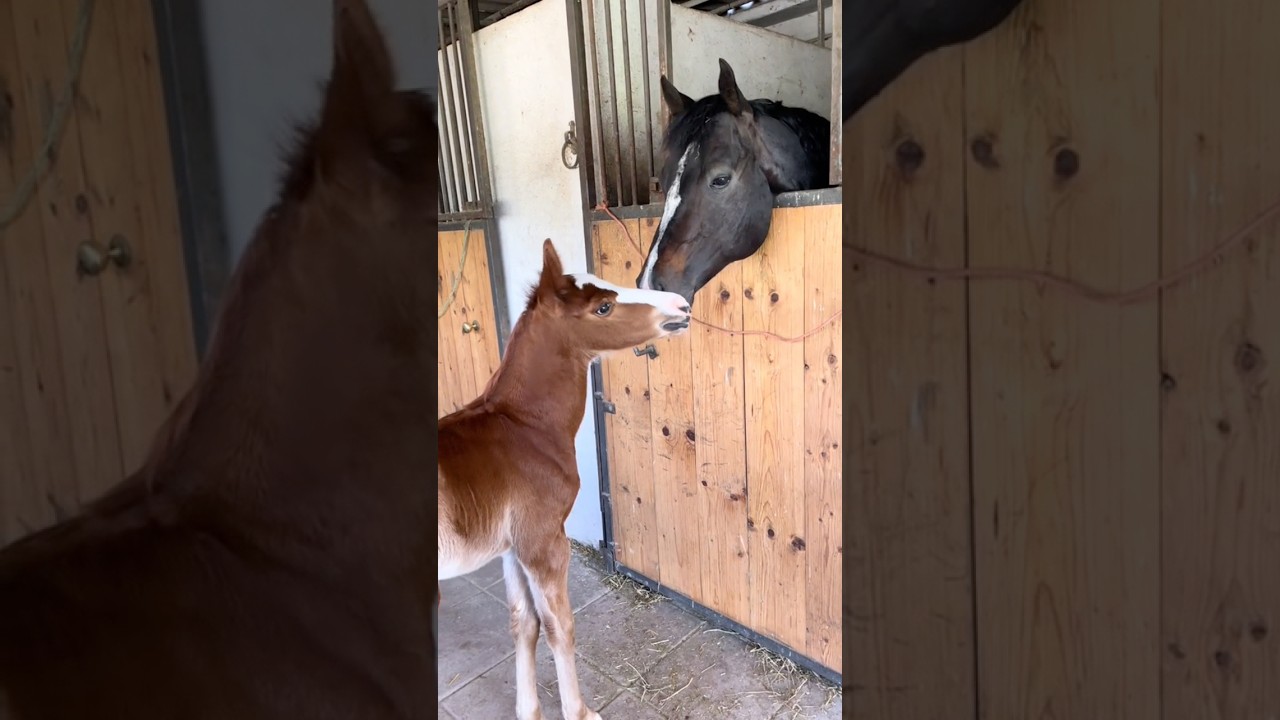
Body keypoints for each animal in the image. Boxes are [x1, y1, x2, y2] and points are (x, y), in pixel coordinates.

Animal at [439, 239, 691, 720]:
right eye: (604, 307)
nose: (681, 305)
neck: (524, 428)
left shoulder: (513, 546)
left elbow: (523, 622)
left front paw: (528, 710)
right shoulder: (543, 542)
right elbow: (560, 626)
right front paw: (580, 711)